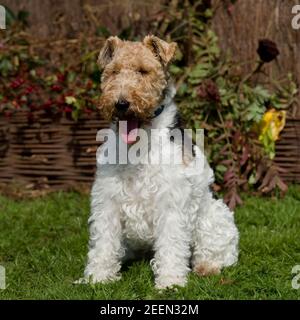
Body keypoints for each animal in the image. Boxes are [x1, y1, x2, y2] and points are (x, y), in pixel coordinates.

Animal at [79, 35, 239, 290]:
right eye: (113, 72)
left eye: (144, 71)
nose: (121, 103)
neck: (138, 146)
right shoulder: (107, 202)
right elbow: (103, 244)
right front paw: (98, 278)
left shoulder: (171, 204)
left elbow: (172, 246)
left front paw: (170, 283)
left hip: (214, 217)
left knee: (218, 252)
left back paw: (207, 268)